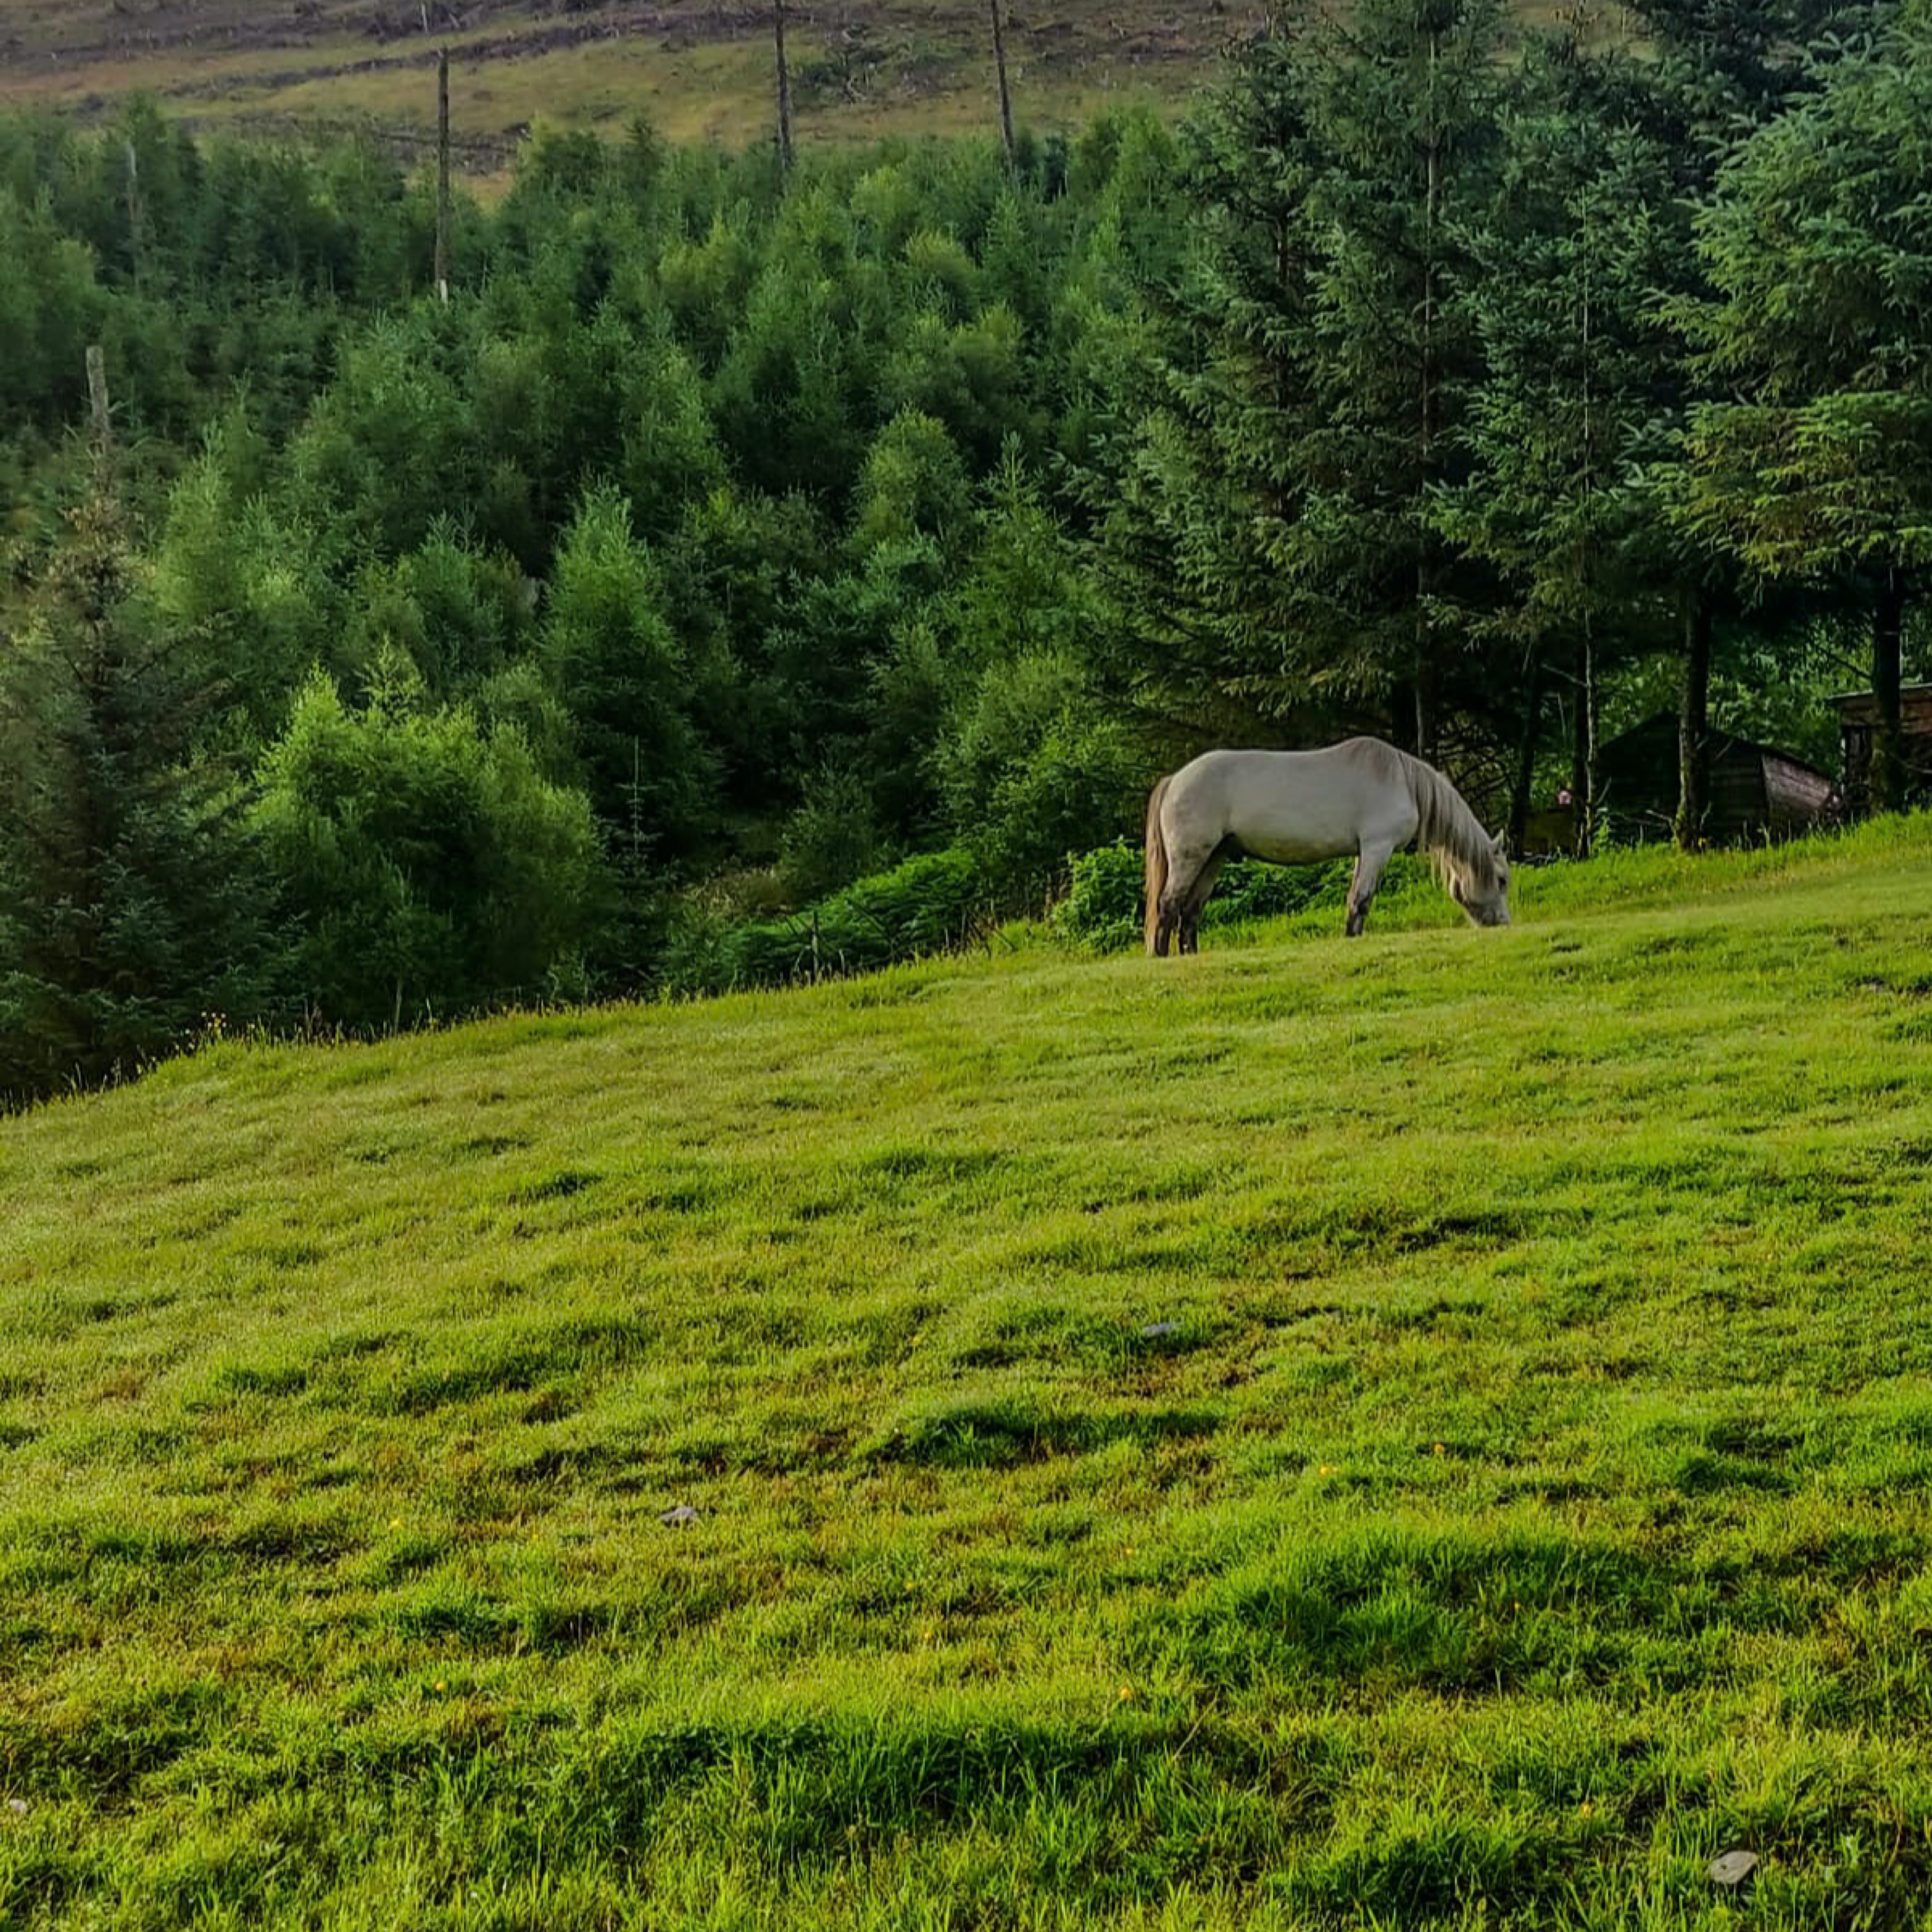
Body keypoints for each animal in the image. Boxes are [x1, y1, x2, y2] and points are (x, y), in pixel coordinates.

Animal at [1136, 734, 1515, 954]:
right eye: (1501, 880)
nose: (1503, 924)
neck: (1402, 779)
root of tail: (1175, 779)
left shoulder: (1364, 853)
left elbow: (1353, 901)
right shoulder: (1378, 849)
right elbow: (1362, 900)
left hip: (1214, 858)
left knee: (1190, 913)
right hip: (1191, 858)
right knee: (1168, 907)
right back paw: (1161, 957)